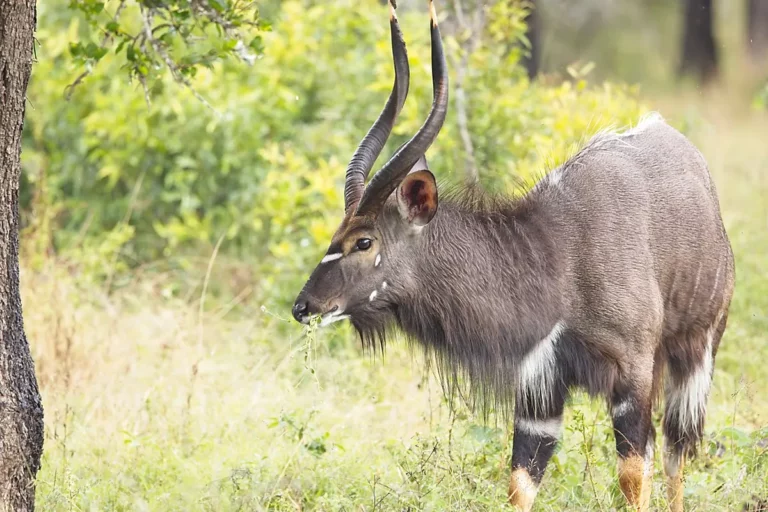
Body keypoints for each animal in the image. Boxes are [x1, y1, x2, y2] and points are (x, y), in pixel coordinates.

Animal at [291, 1, 735, 510]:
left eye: (364, 241)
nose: (303, 306)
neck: (556, 258)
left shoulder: (632, 375)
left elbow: (632, 476)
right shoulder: (539, 392)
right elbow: (520, 483)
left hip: (697, 352)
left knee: (676, 450)